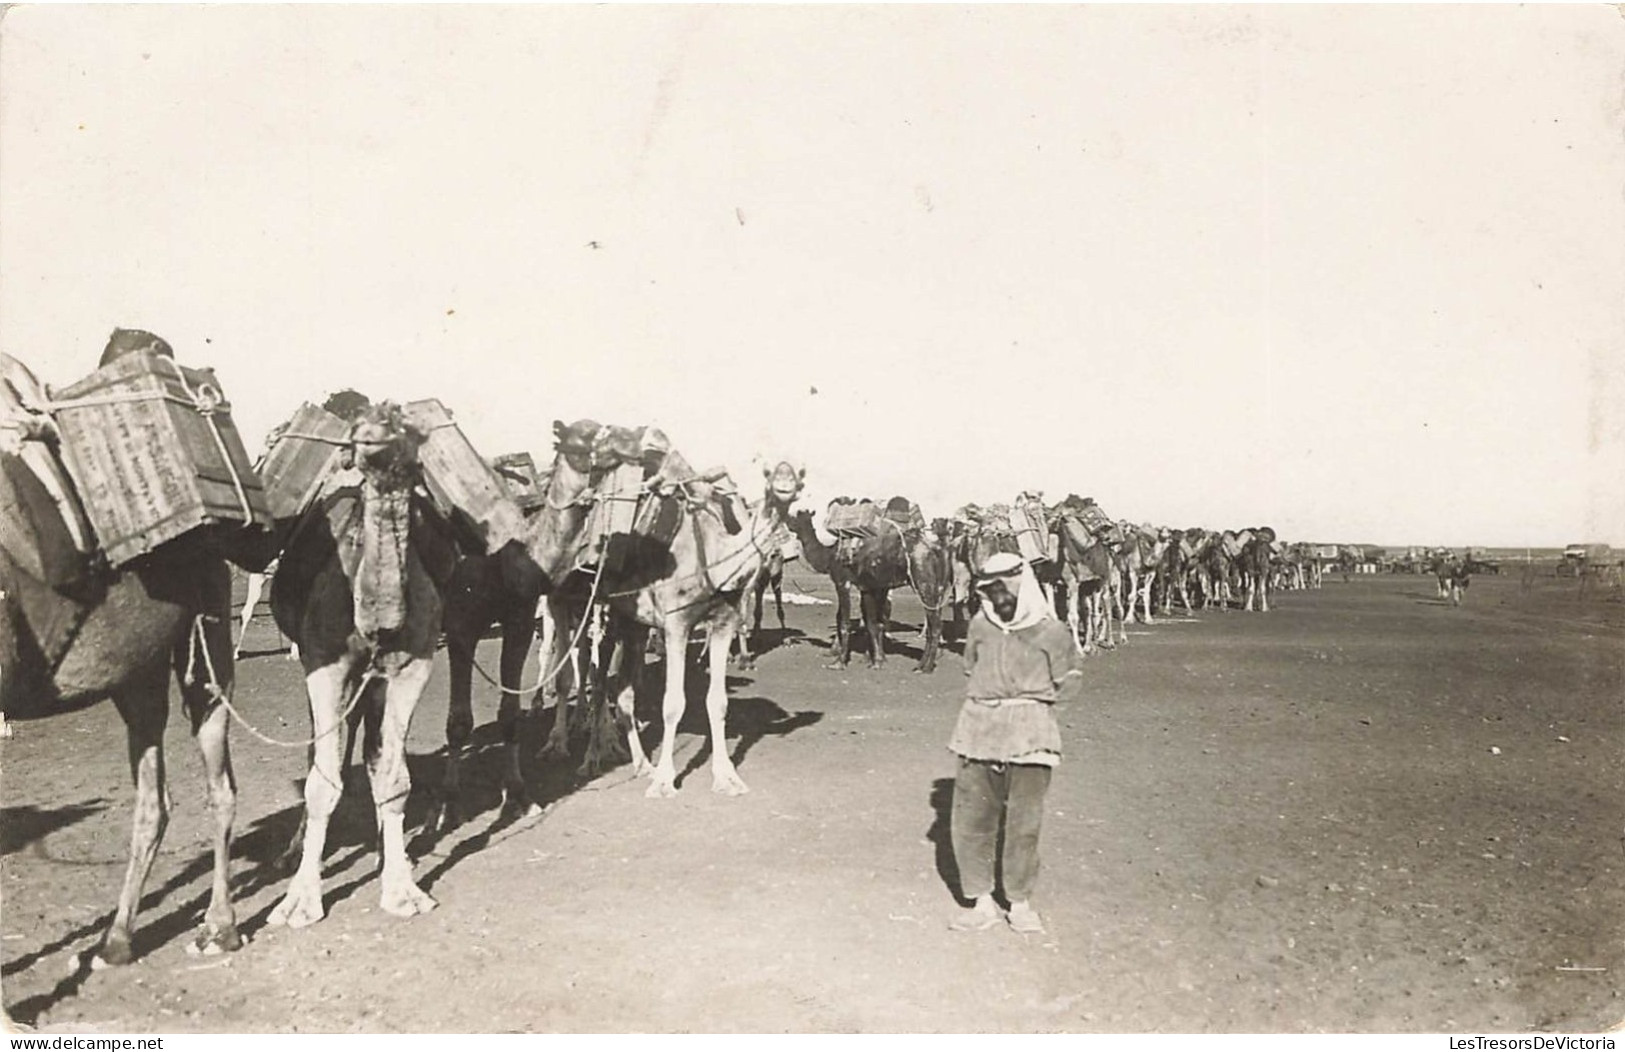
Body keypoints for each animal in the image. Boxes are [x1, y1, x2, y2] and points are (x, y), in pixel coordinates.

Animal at [263, 399, 461, 923]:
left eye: (402, 424)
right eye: (358, 427)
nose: (371, 434)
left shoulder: (412, 665)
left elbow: (392, 776)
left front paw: (402, 889)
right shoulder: (323, 663)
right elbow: (321, 780)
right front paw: (299, 901)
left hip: (373, 680)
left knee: (370, 747)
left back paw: (382, 849)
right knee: (323, 750)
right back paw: (295, 850)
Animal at [786, 500, 949, 676]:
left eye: (796, 517)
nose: (786, 521)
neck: (829, 555)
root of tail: (937, 549)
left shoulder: (842, 582)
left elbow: (845, 622)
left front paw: (839, 662)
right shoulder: (869, 587)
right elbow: (873, 624)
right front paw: (877, 661)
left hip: (923, 582)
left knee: (935, 625)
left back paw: (926, 667)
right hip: (936, 587)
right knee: (933, 622)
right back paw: (920, 665)